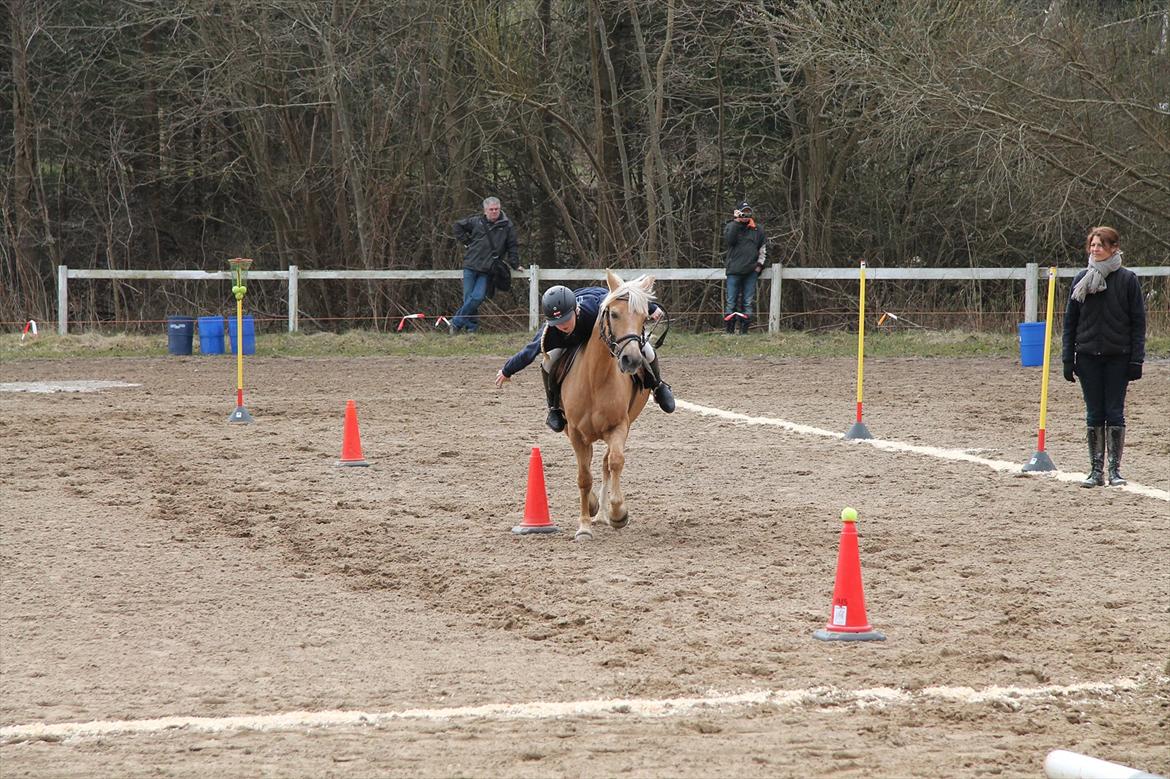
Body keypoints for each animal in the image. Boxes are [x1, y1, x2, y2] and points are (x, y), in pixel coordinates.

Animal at [559, 270, 656, 541]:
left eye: (644, 317)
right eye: (614, 314)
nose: (632, 359)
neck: (595, 378)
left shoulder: (619, 426)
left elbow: (615, 462)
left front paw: (617, 513)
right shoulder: (575, 432)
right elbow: (583, 477)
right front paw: (584, 526)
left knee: (605, 462)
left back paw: (602, 512)